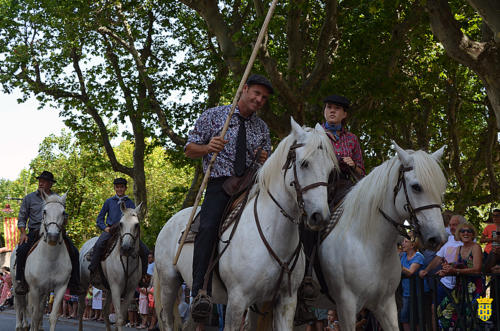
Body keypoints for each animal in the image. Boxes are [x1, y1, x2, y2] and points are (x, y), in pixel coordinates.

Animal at [77, 202, 143, 331]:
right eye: (121, 224)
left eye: (136, 224)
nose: (126, 248)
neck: (127, 261)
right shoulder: (116, 288)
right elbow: (119, 318)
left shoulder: (130, 291)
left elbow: (120, 317)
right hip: (84, 284)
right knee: (81, 309)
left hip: (108, 290)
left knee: (105, 310)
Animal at [154, 118, 338, 330]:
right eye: (304, 163)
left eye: (330, 170)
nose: (320, 217)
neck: (273, 234)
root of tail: (170, 221)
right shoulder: (237, 301)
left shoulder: (285, 302)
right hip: (169, 283)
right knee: (167, 319)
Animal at [318, 143, 448, 331]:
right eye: (416, 187)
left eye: (440, 189)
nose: (438, 238)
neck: (369, 245)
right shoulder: (346, 307)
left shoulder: (385, 305)